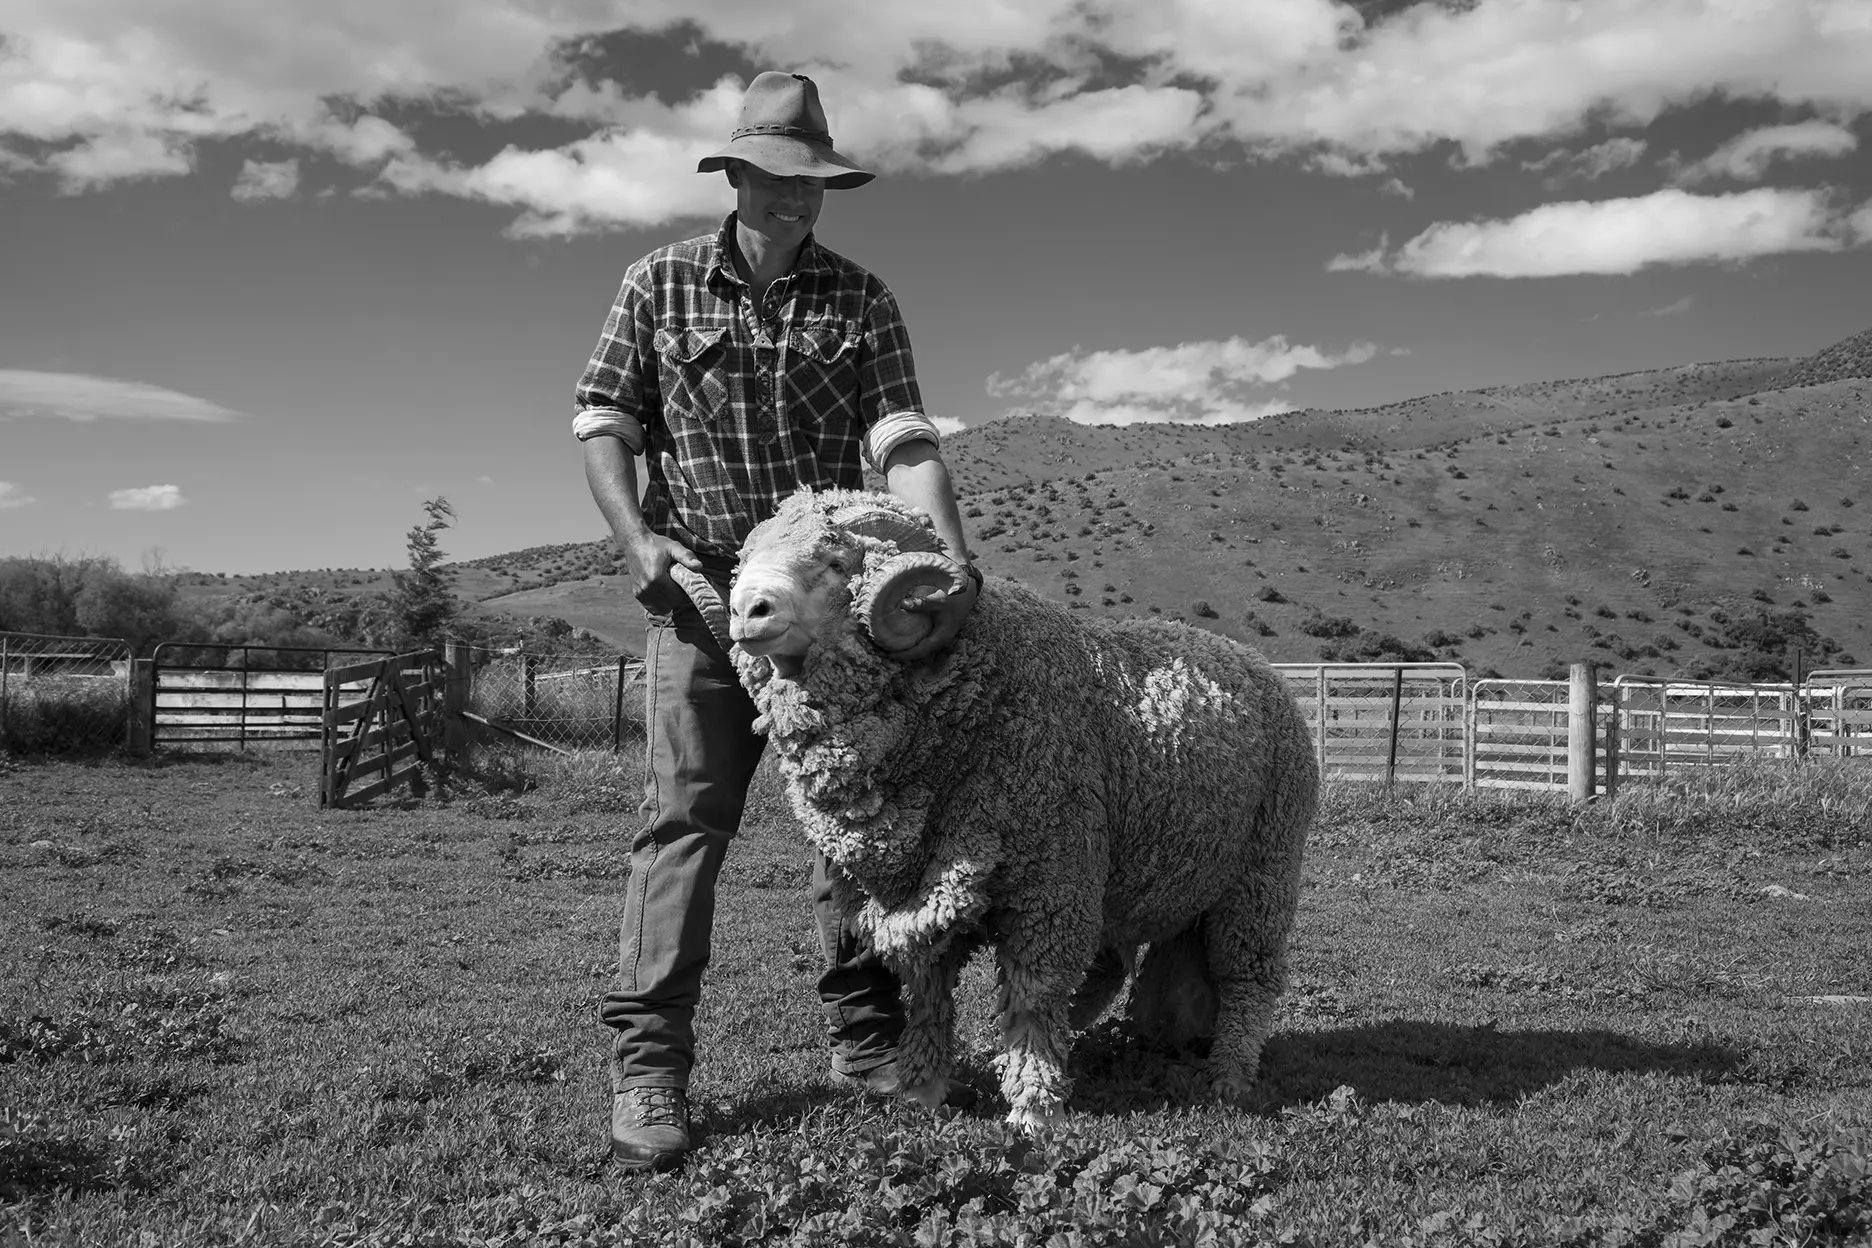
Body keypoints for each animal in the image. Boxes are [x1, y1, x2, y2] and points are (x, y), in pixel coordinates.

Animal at [676, 487, 1318, 1130]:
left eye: (836, 561)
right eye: (745, 559)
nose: (747, 611)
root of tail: (1251, 659)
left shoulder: (1051, 887)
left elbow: (1034, 994)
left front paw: (1035, 1110)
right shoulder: (921, 891)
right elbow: (929, 995)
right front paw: (926, 1089)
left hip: (1261, 871)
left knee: (1248, 979)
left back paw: (1227, 1076)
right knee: (1120, 965)